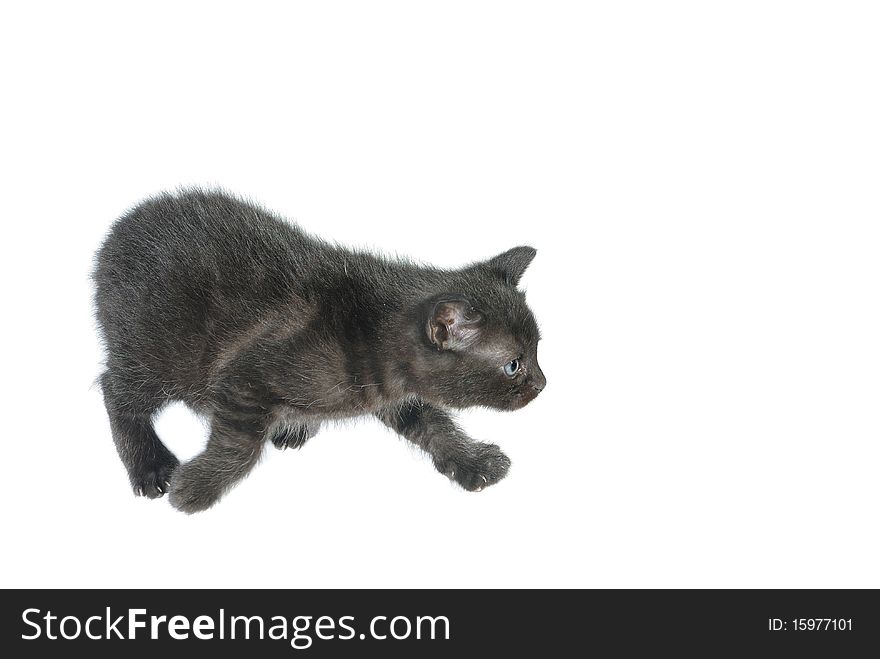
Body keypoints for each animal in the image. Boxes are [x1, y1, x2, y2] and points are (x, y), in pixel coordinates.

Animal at [91, 188, 544, 512]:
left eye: (538, 350)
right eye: (513, 365)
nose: (542, 384)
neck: (372, 328)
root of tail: (116, 233)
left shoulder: (393, 393)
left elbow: (433, 424)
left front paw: (473, 462)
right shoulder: (242, 377)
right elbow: (239, 446)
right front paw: (196, 488)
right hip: (155, 352)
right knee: (115, 389)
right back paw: (149, 465)